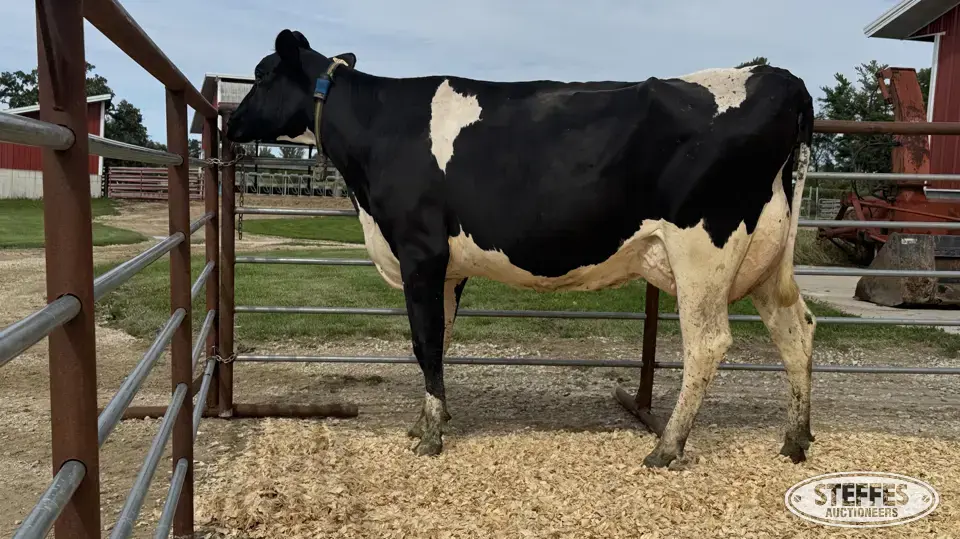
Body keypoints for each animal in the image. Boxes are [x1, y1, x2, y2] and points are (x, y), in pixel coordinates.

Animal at [226, 29, 817, 469]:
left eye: (262, 74)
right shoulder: (447, 268)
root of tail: (781, 79)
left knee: (708, 343)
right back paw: (795, 440)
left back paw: (667, 447)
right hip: (765, 258)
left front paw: (430, 437)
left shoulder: (419, 251)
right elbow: (438, 341)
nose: (230, 121)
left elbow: (424, 343)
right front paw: (428, 421)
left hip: (703, 249)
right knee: (796, 329)